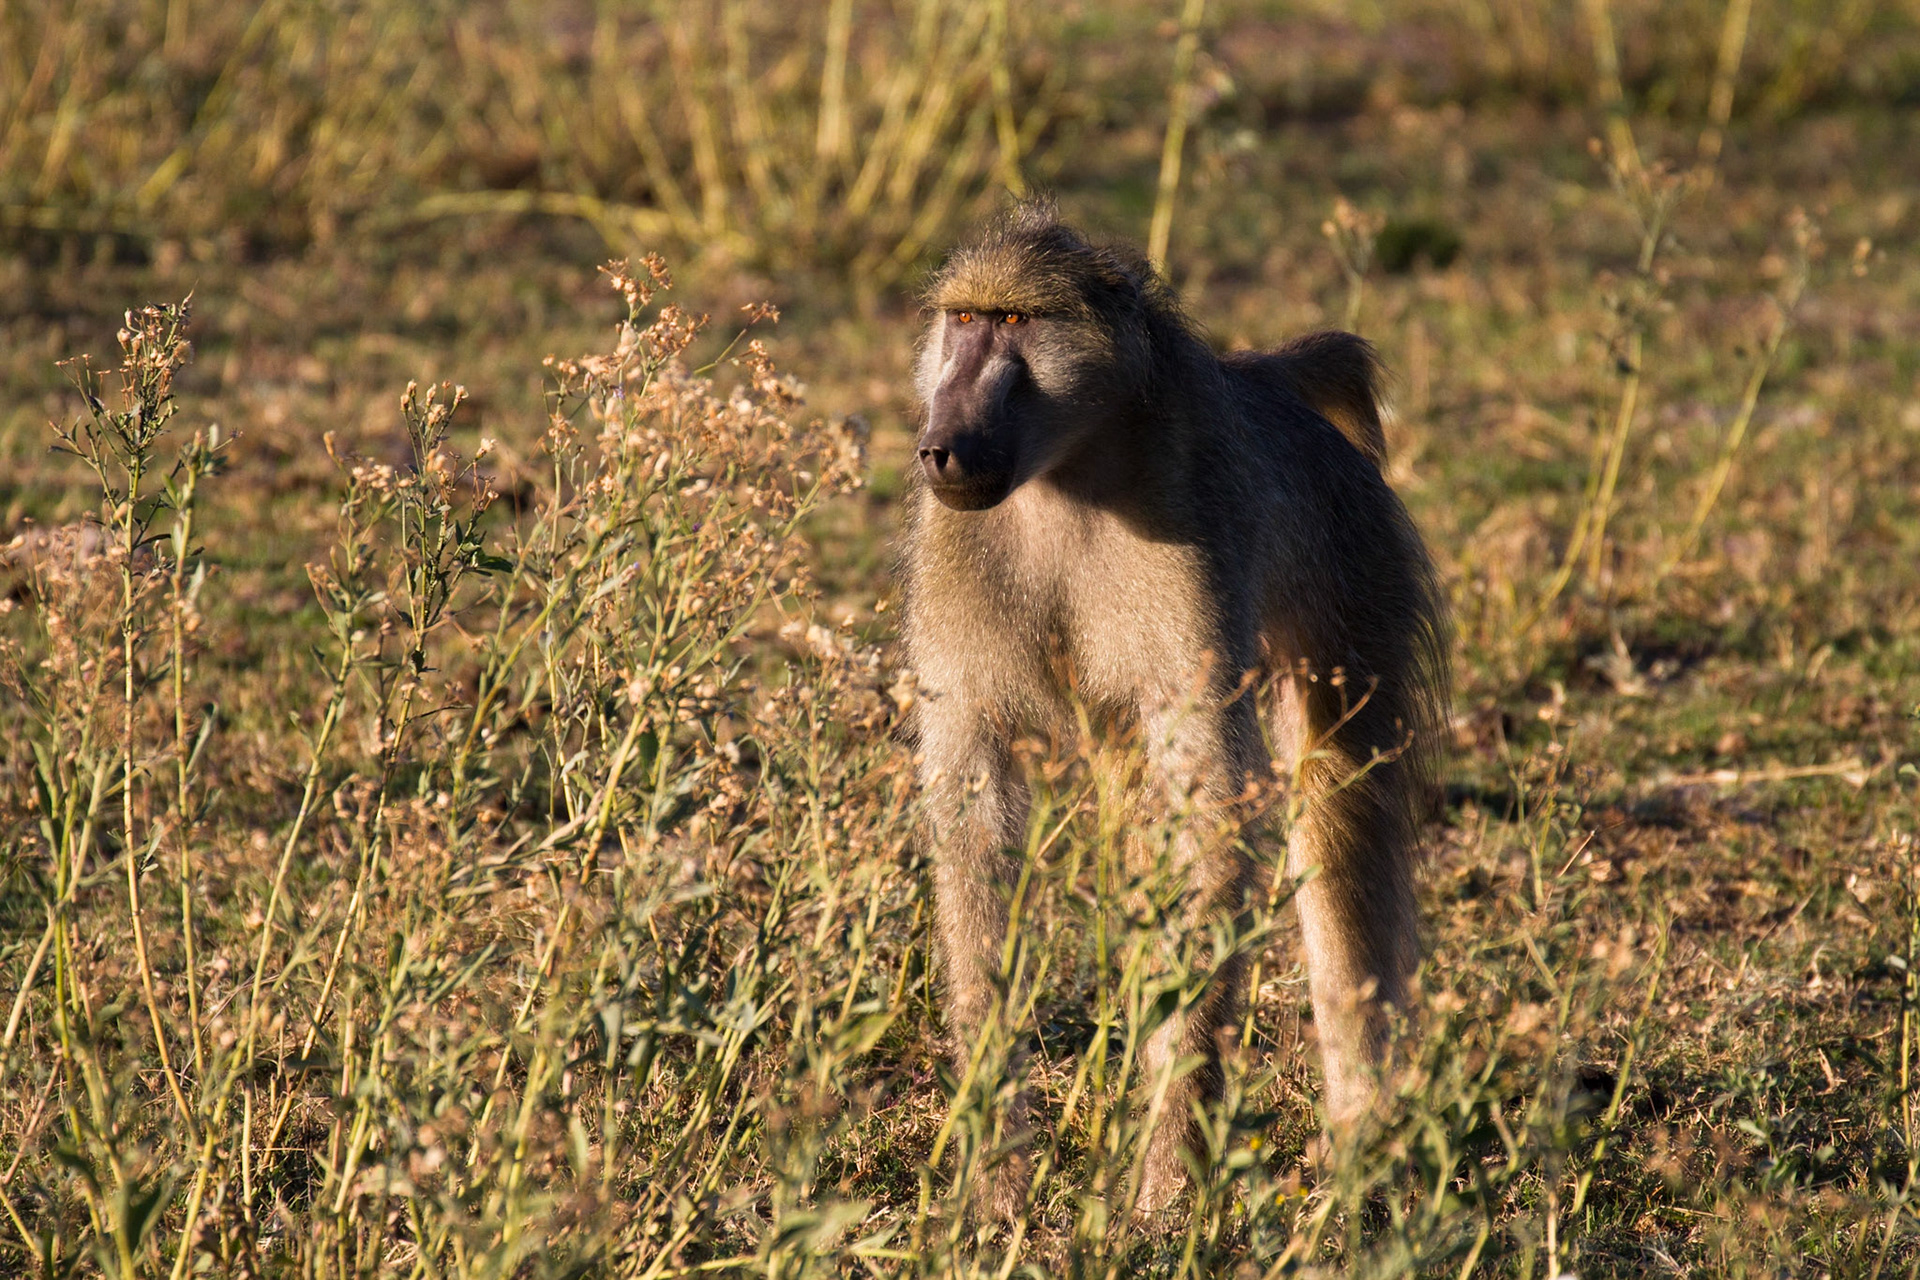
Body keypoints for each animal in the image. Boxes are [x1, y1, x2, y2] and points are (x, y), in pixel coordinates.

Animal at [899, 201, 1449, 1217]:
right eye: (962, 321)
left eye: (1013, 323)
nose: (940, 443)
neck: (1067, 476)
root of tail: (1272, 382)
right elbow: (975, 823)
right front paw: (998, 1179)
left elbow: (1213, 817)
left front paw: (1165, 1188)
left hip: (1358, 566)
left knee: (1338, 812)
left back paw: (1359, 1144)